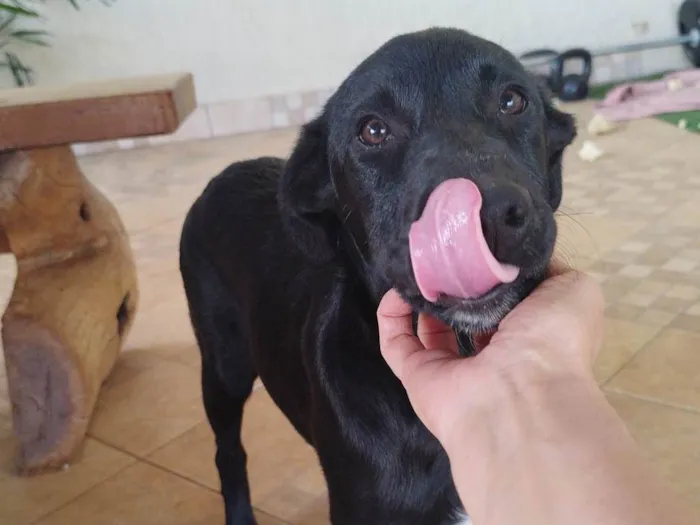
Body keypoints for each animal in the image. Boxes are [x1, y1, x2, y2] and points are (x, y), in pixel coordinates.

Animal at [179, 26, 576, 520]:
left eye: (512, 100)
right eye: (372, 130)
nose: (488, 217)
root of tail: (222, 175)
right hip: (224, 366)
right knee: (227, 451)